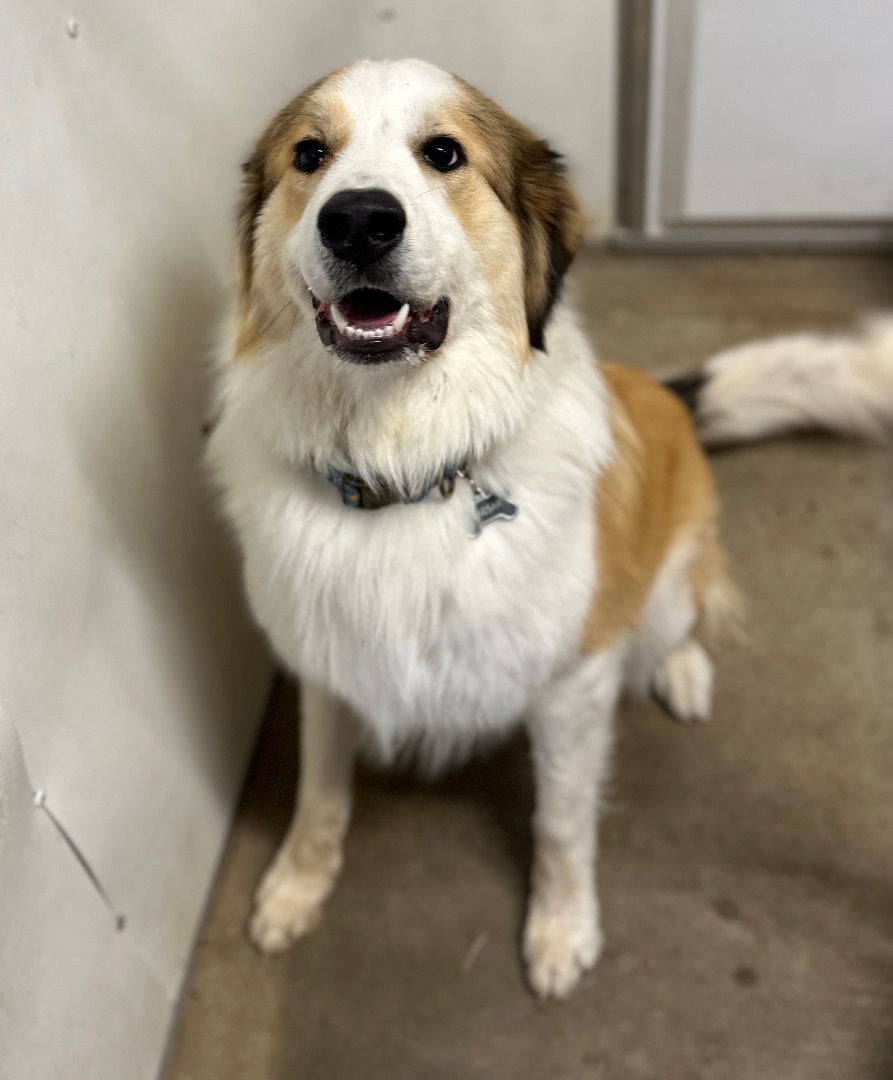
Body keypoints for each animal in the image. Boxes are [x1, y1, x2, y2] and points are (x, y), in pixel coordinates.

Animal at [209, 59, 893, 997]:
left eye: (443, 153)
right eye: (309, 155)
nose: (356, 219)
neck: (406, 469)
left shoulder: (572, 683)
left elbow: (562, 824)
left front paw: (562, 929)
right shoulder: (325, 662)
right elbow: (319, 788)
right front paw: (296, 886)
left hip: (665, 584)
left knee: (684, 616)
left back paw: (681, 673)